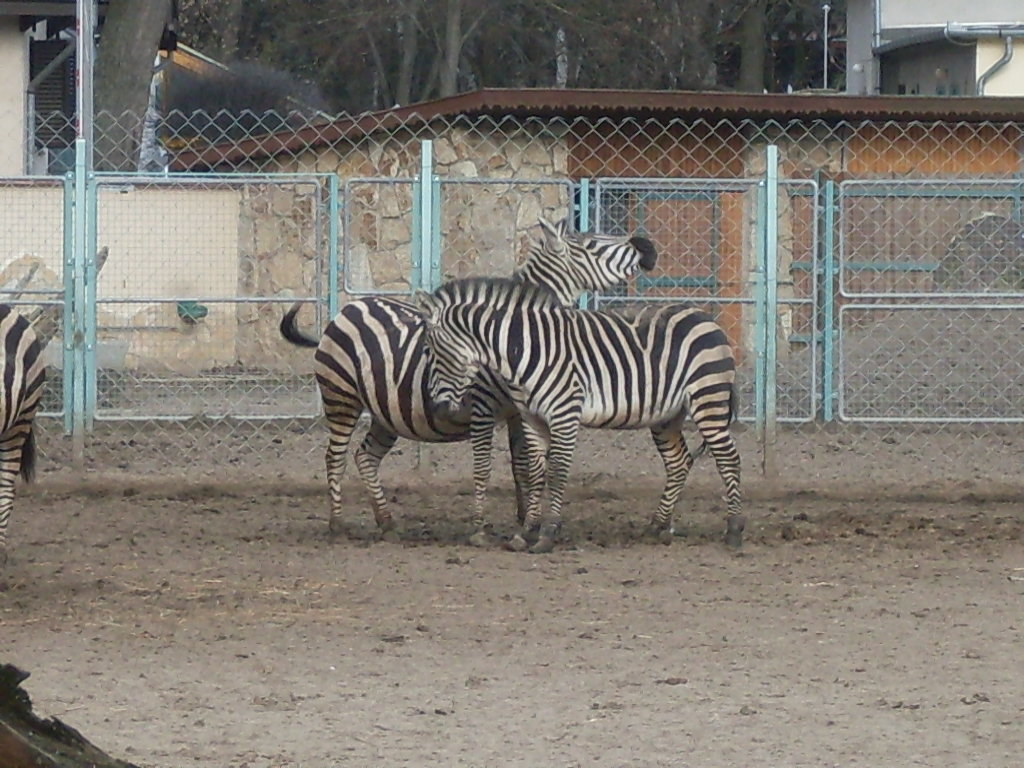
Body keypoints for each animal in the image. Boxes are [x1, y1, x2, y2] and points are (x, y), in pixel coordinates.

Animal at [280, 218, 657, 543]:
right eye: (592, 243)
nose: (648, 247)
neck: (518, 336)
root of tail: (346, 310)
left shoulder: (519, 410)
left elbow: (523, 464)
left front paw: (525, 519)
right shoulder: (483, 407)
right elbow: (487, 465)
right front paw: (484, 527)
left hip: (386, 412)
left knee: (366, 456)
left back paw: (386, 523)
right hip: (341, 398)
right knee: (336, 456)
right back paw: (338, 524)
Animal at [415, 276, 744, 554]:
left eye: (432, 352)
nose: (438, 408)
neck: (523, 350)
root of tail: (705, 318)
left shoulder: (564, 414)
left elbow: (558, 470)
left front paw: (548, 534)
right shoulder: (532, 418)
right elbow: (536, 472)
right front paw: (527, 531)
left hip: (708, 398)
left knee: (728, 459)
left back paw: (733, 531)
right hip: (667, 415)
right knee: (678, 462)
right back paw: (656, 527)